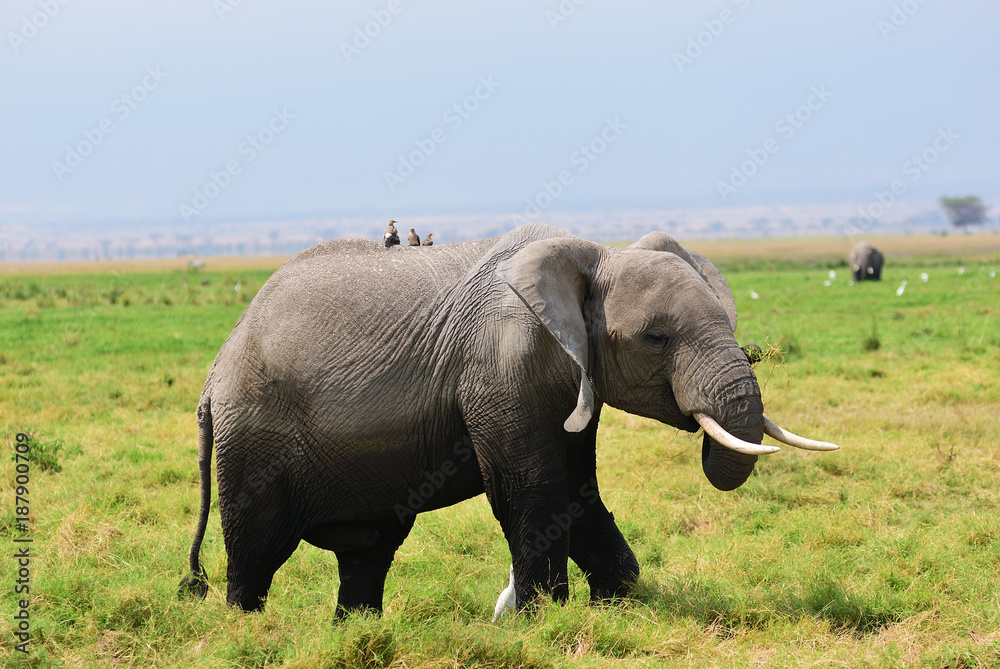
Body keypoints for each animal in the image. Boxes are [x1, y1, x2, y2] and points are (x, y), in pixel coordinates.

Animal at [178, 223, 838, 616]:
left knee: (368, 551)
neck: (594, 253)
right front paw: (543, 620)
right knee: (256, 552)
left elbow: (578, 492)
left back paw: (356, 630)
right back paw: (249, 628)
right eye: (656, 338)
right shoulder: (500, 367)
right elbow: (531, 489)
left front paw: (616, 602)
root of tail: (213, 375)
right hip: (253, 439)